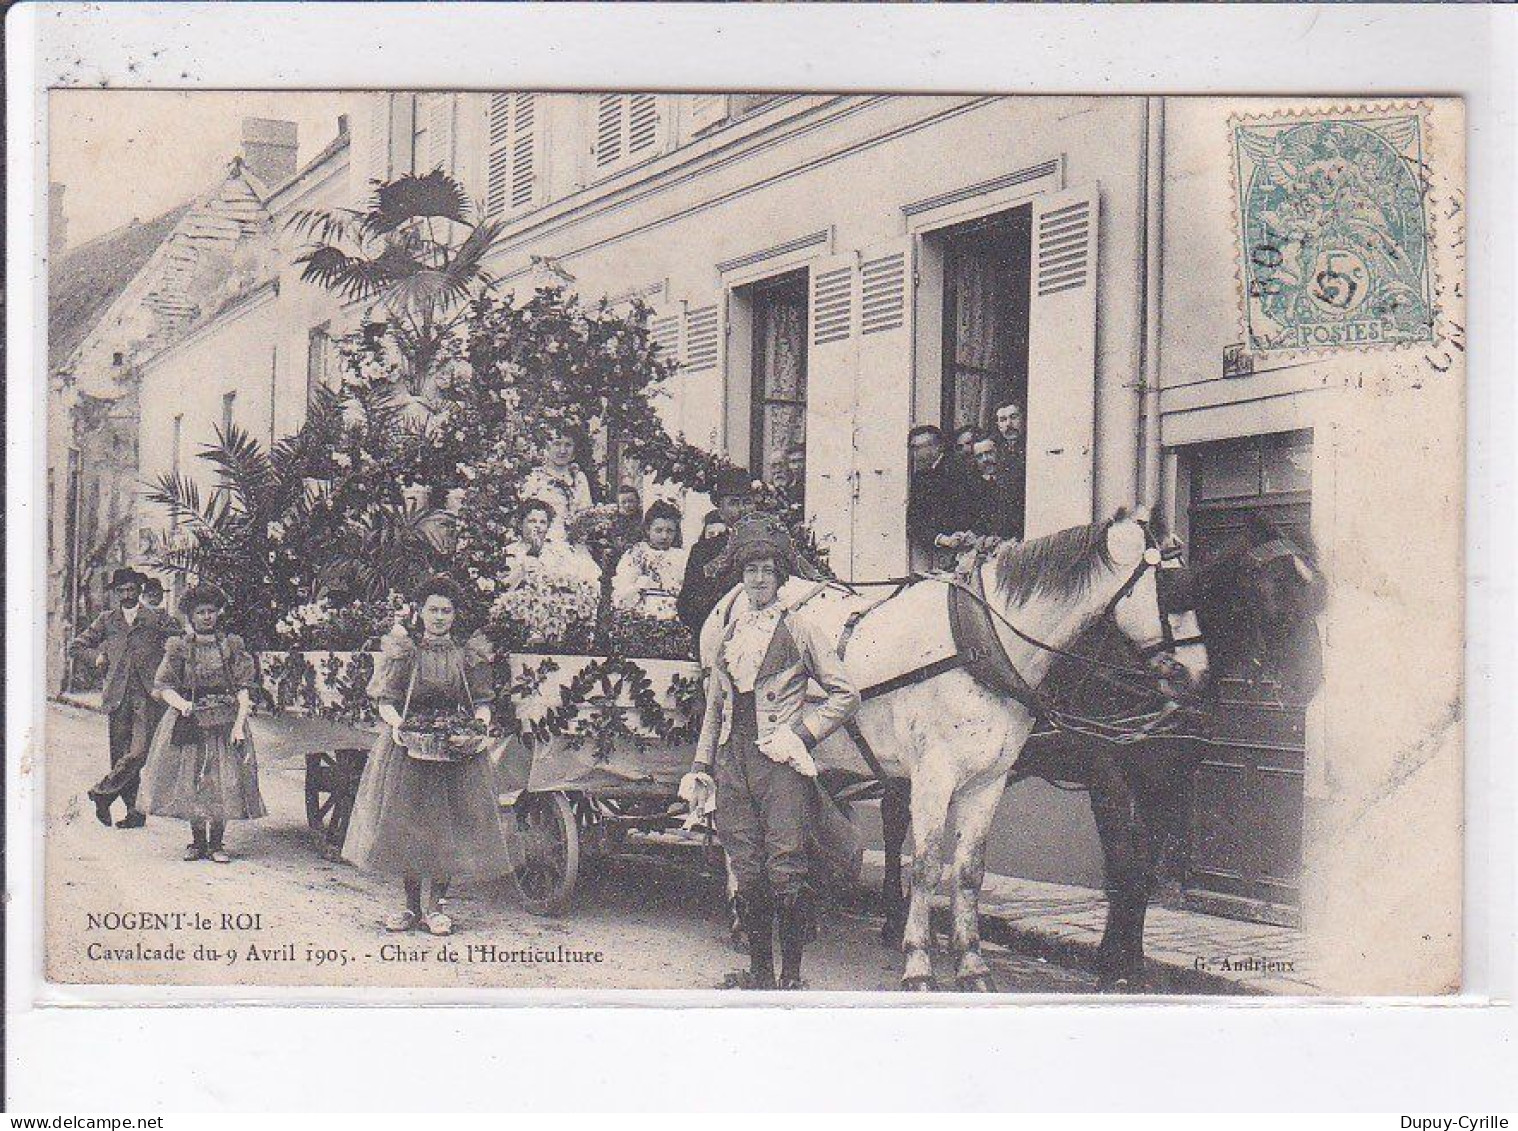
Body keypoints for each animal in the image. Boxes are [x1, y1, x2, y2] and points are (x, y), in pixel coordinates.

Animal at [698, 513, 1208, 989]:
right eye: (1172, 590)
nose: (1197, 676)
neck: (981, 644)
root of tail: (732, 597)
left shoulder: (989, 779)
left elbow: (968, 871)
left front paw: (972, 964)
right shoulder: (939, 775)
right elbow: (927, 866)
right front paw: (918, 963)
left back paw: (805, 920)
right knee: (732, 825)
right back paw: (743, 917)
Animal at [880, 516, 1329, 989]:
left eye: (1317, 596)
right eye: (1269, 589)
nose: (1307, 683)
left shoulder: (1167, 783)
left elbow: (1143, 875)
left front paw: (1131, 964)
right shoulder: (1108, 777)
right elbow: (1122, 871)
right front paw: (1112, 965)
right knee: (893, 824)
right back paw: (893, 919)